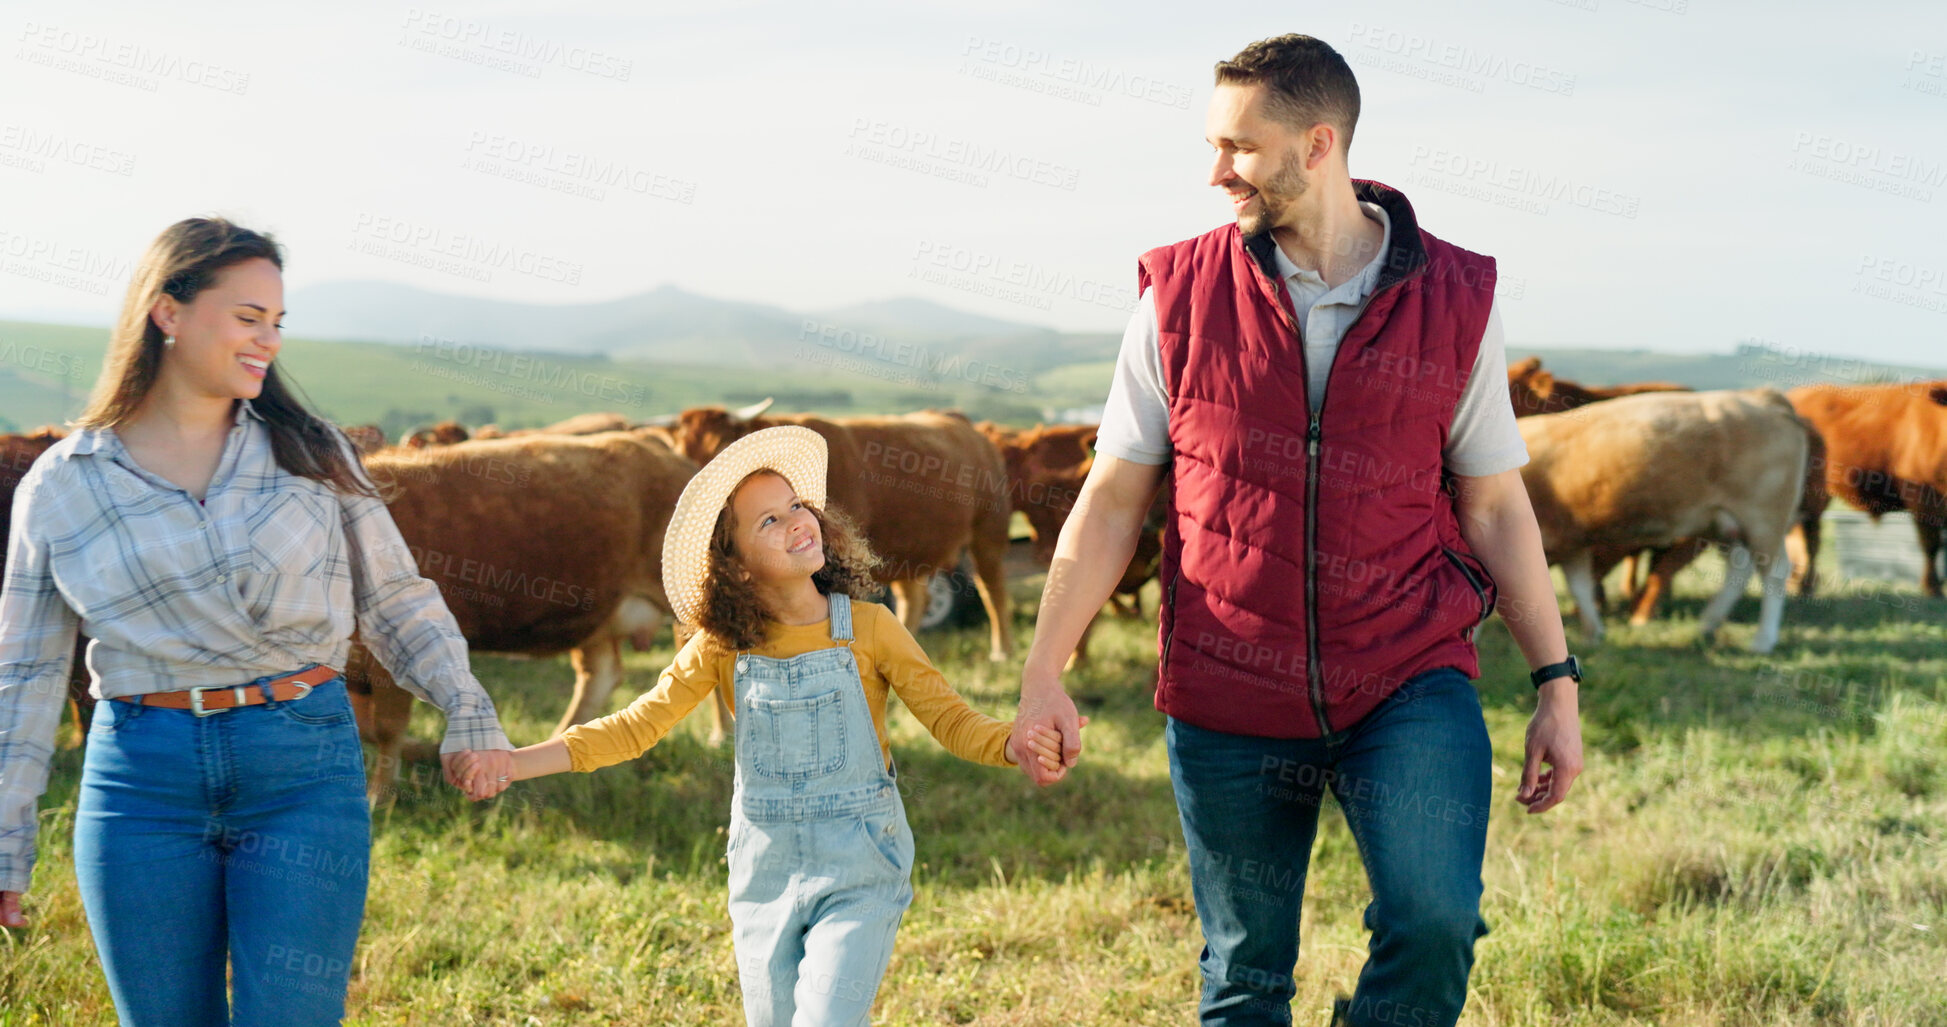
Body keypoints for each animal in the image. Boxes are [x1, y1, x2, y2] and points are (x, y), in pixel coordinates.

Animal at [348, 430, 700, 798]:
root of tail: (649, 441)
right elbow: (365, 728)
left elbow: (387, 727)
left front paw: (380, 796)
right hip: (596, 617)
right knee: (601, 675)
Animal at [673, 401, 1012, 658]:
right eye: (679, 450)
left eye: (719, 446)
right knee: (916, 599)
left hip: (989, 533)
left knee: (992, 589)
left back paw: (1001, 650)